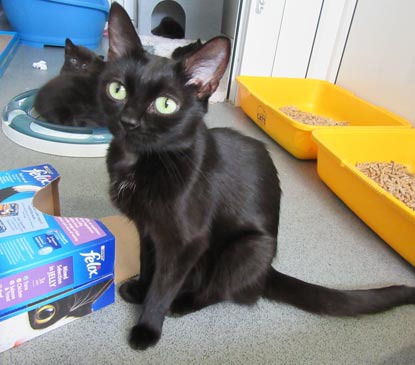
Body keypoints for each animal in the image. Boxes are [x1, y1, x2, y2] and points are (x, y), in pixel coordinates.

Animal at [101, 2, 415, 350]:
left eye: (165, 104)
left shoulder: (185, 242)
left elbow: (164, 283)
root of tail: (267, 270)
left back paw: (184, 302)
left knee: (225, 291)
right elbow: (148, 263)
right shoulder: (147, 228)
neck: (143, 161)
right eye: (117, 89)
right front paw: (140, 289)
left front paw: (148, 326)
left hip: (248, 248)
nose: (128, 121)